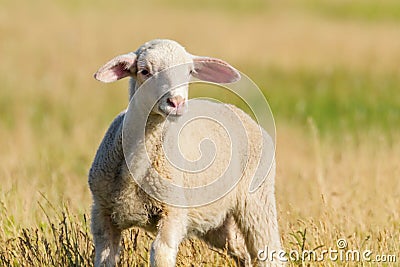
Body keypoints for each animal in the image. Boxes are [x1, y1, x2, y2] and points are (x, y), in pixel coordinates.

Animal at [89, 38, 282, 266]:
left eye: (189, 72)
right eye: (144, 71)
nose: (177, 102)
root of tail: (239, 112)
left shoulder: (174, 212)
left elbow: (161, 251)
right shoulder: (101, 213)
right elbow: (104, 257)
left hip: (258, 198)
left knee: (269, 250)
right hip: (216, 219)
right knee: (240, 249)